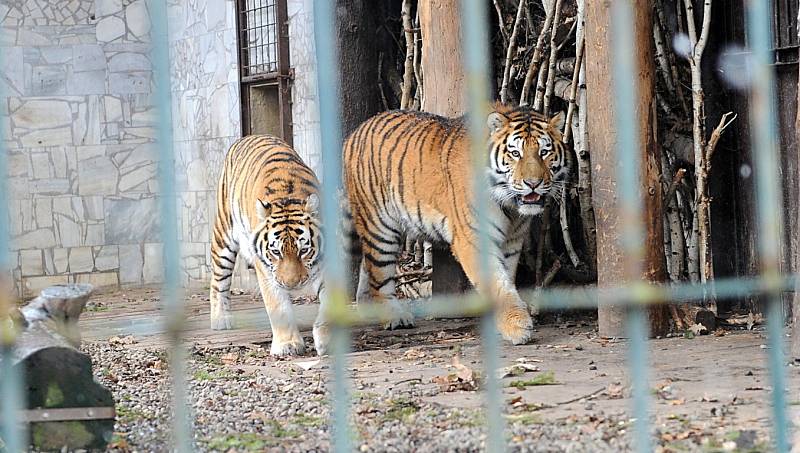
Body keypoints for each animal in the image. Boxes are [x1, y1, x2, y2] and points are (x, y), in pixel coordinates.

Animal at [209, 135, 332, 356]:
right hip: (224, 235)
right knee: (218, 277)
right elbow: (278, 305)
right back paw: (221, 319)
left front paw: (326, 340)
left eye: (304, 250)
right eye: (275, 252)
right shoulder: (265, 268)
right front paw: (287, 345)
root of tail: (247, 137)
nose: (291, 284)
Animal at [340, 102, 564, 342]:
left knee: (368, 266)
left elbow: (507, 278)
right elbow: (498, 284)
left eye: (544, 152)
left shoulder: (512, 241)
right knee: (379, 274)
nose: (533, 183)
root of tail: (354, 133)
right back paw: (394, 317)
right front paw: (517, 326)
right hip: (380, 226)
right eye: (515, 154)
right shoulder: (474, 239)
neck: (511, 208)